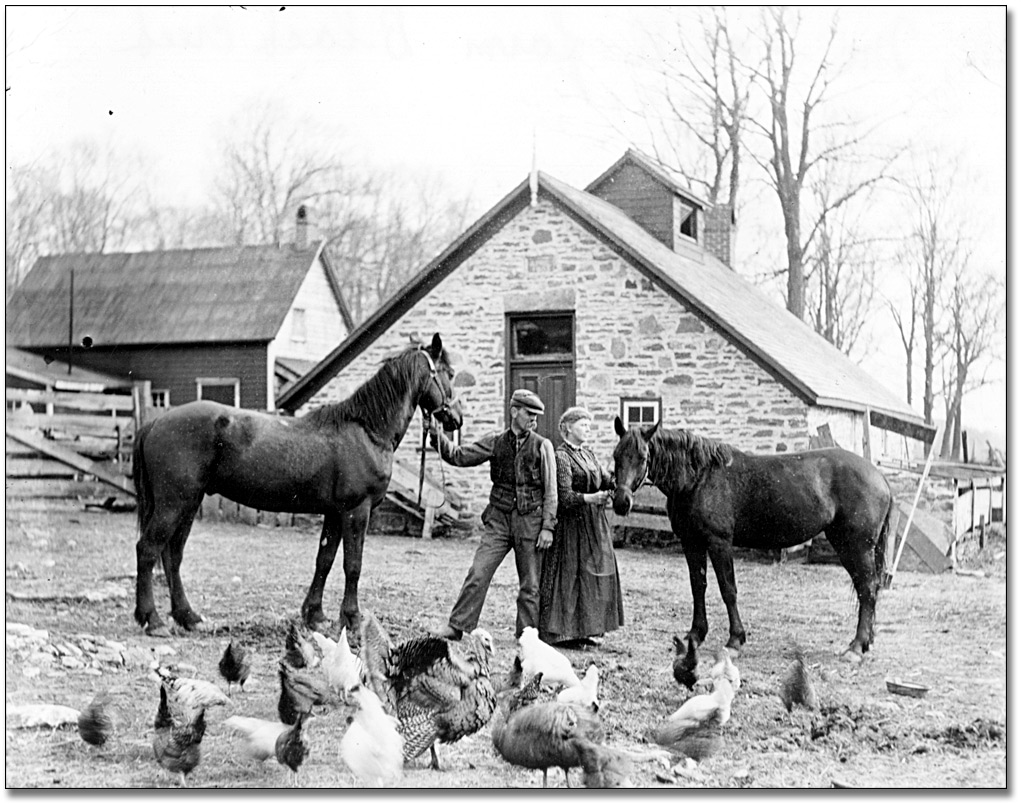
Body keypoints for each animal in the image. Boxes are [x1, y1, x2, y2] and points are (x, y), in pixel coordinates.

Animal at [133, 330, 461, 633]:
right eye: (449, 373)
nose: (456, 418)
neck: (367, 430)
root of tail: (156, 422)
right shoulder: (357, 511)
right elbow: (352, 565)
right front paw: (352, 618)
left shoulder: (334, 513)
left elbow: (324, 561)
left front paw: (314, 615)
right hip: (173, 504)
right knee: (148, 550)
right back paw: (152, 619)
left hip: (189, 504)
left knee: (172, 556)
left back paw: (187, 617)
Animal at [613, 418, 895, 661]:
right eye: (616, 456)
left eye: (643, 457)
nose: (621, 502)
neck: (699, 478)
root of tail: (880, 477)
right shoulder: (691, 543)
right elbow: (698, 586)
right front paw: (695, 635)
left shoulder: (719, 543)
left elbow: (728, 590)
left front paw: (735, 641)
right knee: (866, 589)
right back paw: (864, 643)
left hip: (856, 547)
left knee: (867, 589)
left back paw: (856, 647)